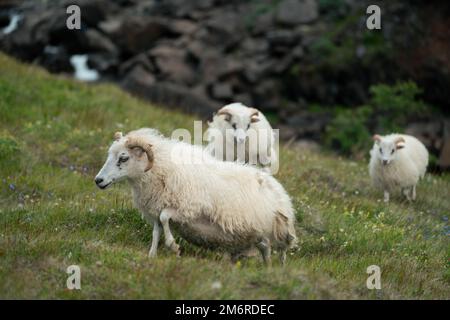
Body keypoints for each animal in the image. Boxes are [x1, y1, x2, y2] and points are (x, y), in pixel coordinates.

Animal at [95, 128, 298, 264]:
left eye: (123, 158)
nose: (98, 180)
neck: (162, 169)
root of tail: (281, 191)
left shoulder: (188, 209)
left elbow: (165, 217)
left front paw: (173, 246)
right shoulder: (156, 209)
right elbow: (156, 230)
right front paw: (152, 255)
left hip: (275, 229)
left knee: (278, 250)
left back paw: (276, 269)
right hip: (255, 233)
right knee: (265, 248)